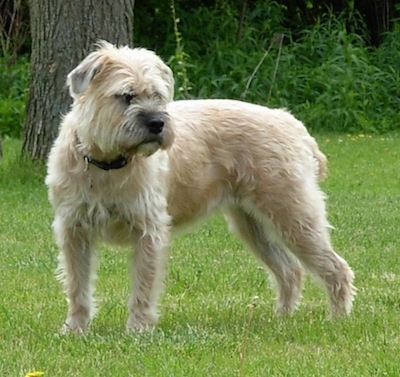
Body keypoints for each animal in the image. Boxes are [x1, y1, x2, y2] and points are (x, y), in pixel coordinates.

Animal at [45, 40, 354, 332]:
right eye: (126, 96)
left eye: (158, 96)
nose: (157, 123)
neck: (107, 163)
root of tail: (293, 124)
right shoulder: (74, 231)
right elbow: (77, 285)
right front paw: (75, 328)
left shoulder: (149, 231)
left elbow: (143, 285)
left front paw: (138, 329)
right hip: (252, 225)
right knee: (290, 270)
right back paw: (283, 317)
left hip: (293, 215)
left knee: (336, 267)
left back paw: (338, 319)